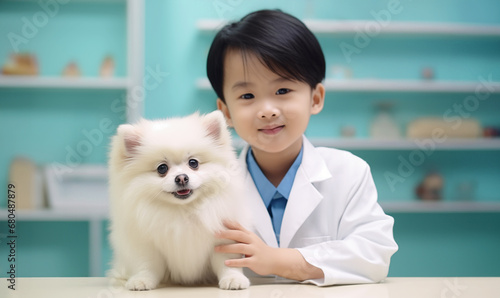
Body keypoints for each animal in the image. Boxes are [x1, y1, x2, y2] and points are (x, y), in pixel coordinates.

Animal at [108, 110, 250, 290]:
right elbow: (148, 265)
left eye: (193, 163)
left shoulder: (225, 238)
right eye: (162, 168)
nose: (181, 178)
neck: (184, 210)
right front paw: (141, 280)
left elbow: (227, 261)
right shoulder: (146, 244)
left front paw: (233, 279)